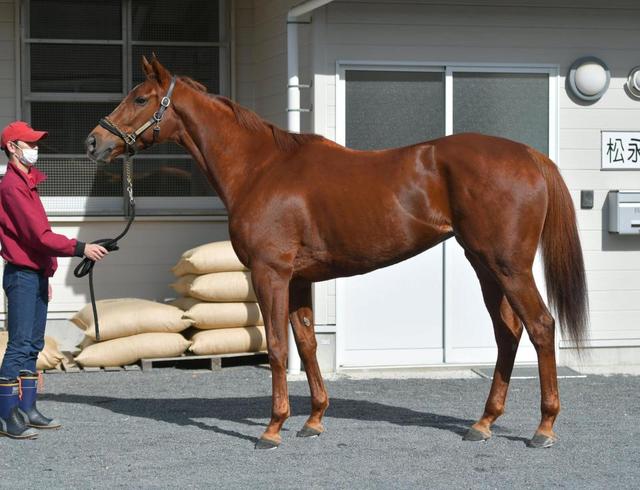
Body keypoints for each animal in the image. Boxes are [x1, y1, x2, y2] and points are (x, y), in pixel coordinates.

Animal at [86, 56, 588, 450]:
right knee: (508, 333)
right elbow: (306, 344)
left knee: (540, 327)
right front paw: (313, 420)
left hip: (508, 266)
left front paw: (272, 429)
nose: (95, 142)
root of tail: (529, 155)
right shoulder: (299, 280)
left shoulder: (270, 274)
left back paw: (543, 428)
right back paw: (482, 423)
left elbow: (277, 347)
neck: (261, 168)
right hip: (484, 265)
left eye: (141, 99)